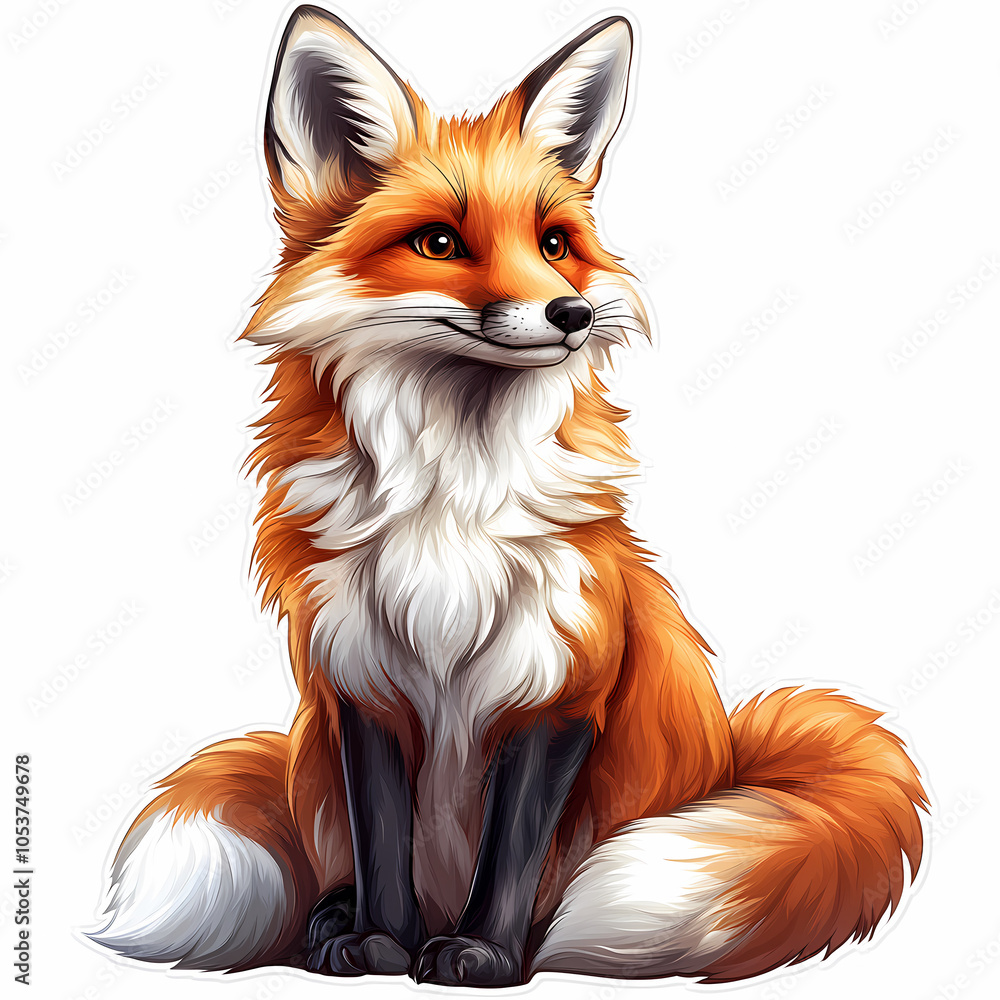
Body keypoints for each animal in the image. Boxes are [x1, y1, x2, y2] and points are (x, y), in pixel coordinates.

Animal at [90, 5, 927, 987]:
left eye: (555, 244)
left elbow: (513, 848)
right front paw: (381, 943)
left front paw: (485, 953)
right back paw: (333, 922)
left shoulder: (560, 681)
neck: (452, 498)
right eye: (439, 243)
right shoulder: (361, 682)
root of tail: (732, 753)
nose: (572, 314)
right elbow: (382, 837)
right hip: (312, 762)